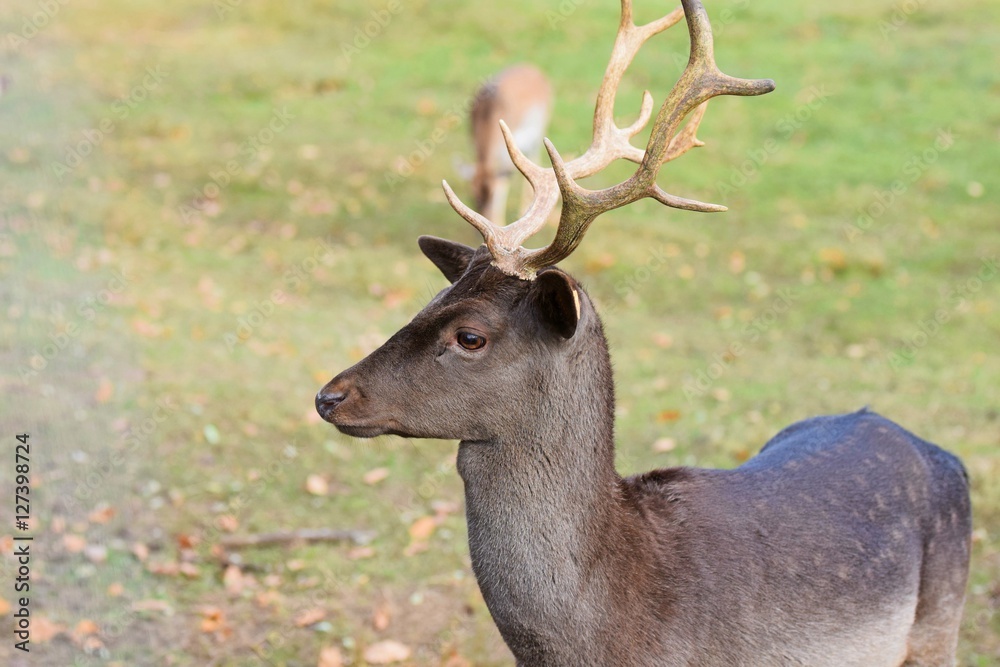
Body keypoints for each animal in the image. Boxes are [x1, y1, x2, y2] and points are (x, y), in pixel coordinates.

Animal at [462, 63, 552, 223]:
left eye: (491, 195)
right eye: (474, 197)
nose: (484, 215)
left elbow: (503, 182)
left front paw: (499, 221)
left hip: (540, 130)